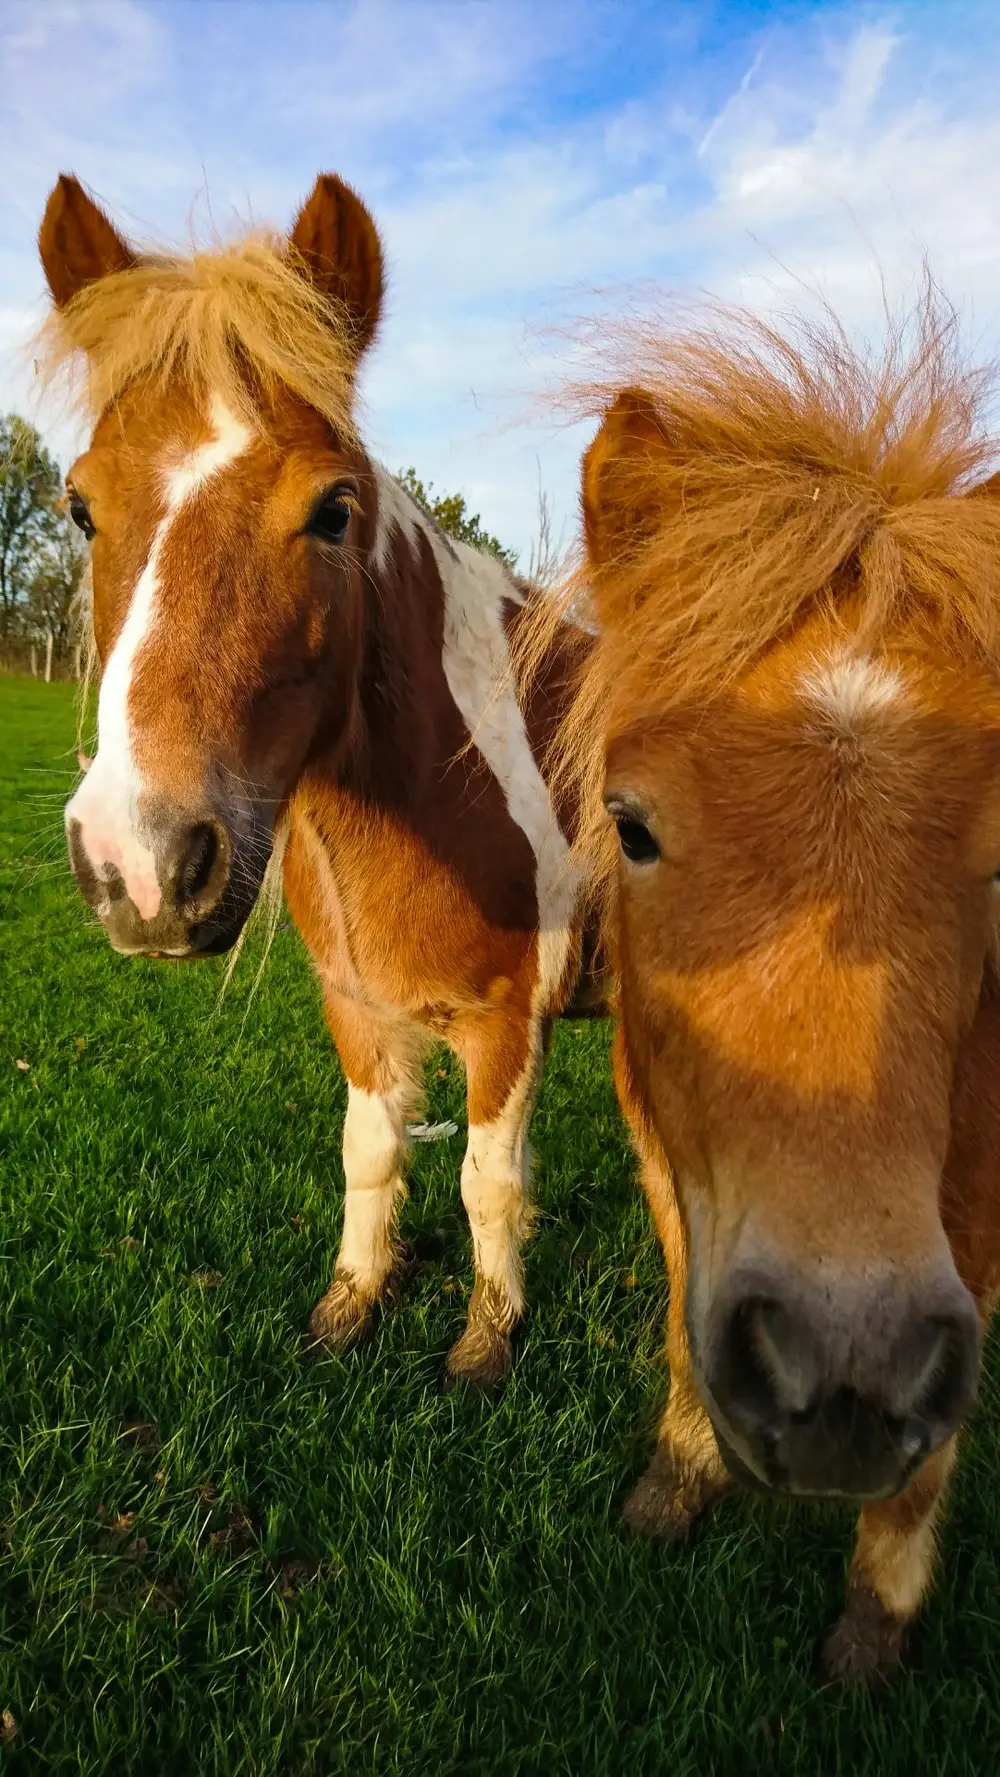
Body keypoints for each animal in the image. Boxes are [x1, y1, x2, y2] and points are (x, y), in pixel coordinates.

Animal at [41, 169, 593, 1386]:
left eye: (331, 510)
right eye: (80, 506)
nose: (144, 864)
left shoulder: (508, 1025)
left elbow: (488, 1183)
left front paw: (486, 1338)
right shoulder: (356, 1007)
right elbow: (369, 1153)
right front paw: (351, 1301)